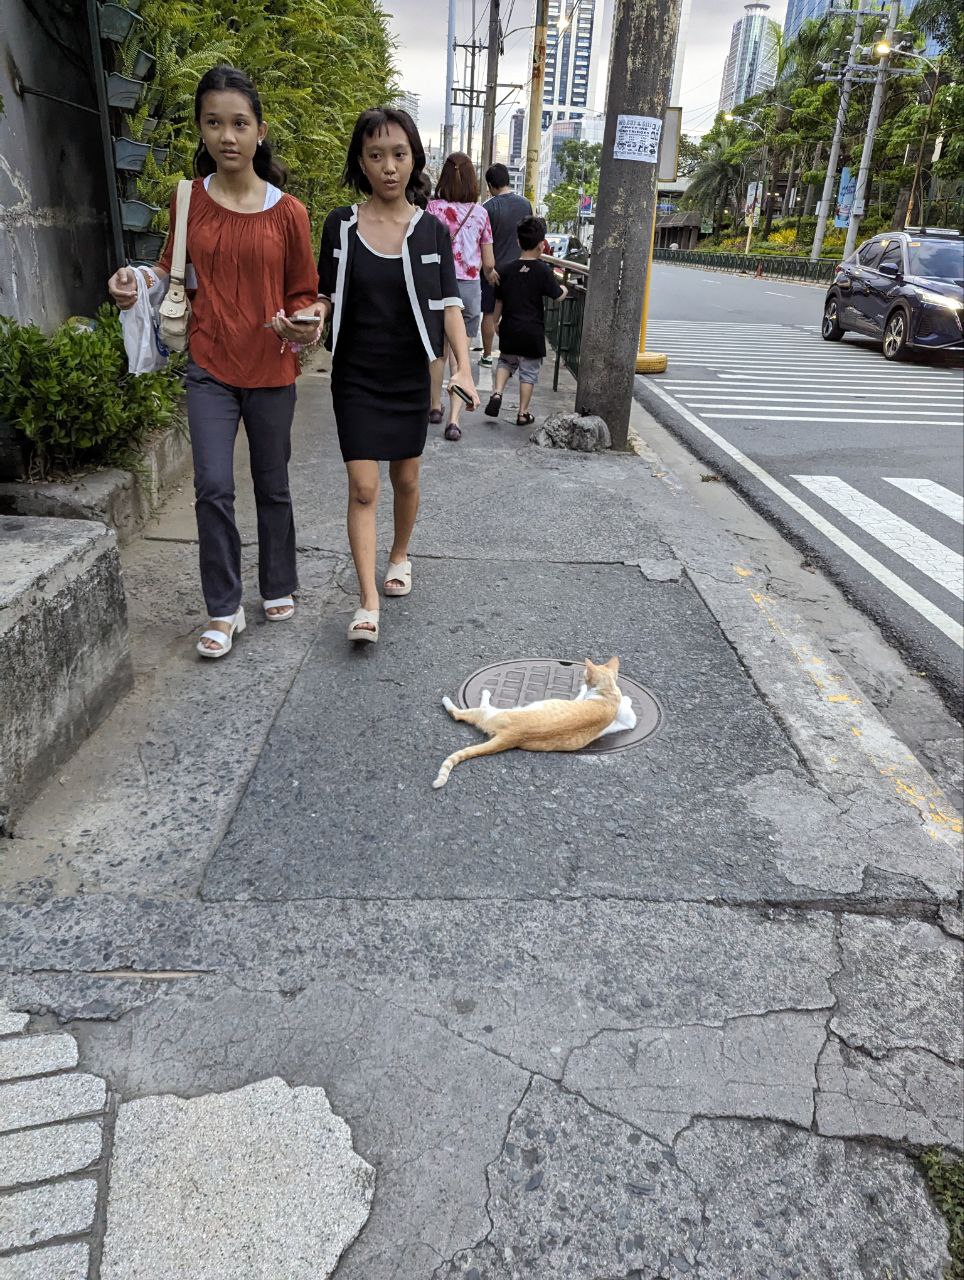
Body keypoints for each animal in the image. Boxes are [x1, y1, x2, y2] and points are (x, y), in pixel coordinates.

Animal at [433, 657, 629, 789]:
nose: (582, 678)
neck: (608, 691)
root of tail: (511, 736)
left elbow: (581, 694)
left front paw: (582, 688)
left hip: (490, 713)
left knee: (460, 713)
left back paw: (459, 698)